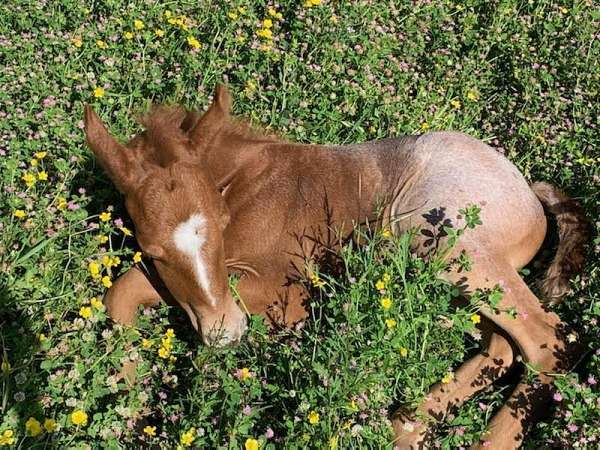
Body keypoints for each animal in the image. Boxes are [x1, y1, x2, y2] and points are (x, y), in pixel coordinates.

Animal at [82, 86, 588, 448]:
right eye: (153, 249)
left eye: (222, 222)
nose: (226, 334)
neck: (240, 185)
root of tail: (529, 194)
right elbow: (121, 291)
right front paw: (127, 401)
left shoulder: (284, 295)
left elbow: (131, 288)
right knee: (501, 346)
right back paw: (403, 428)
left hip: (440, 240)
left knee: (546, 339)